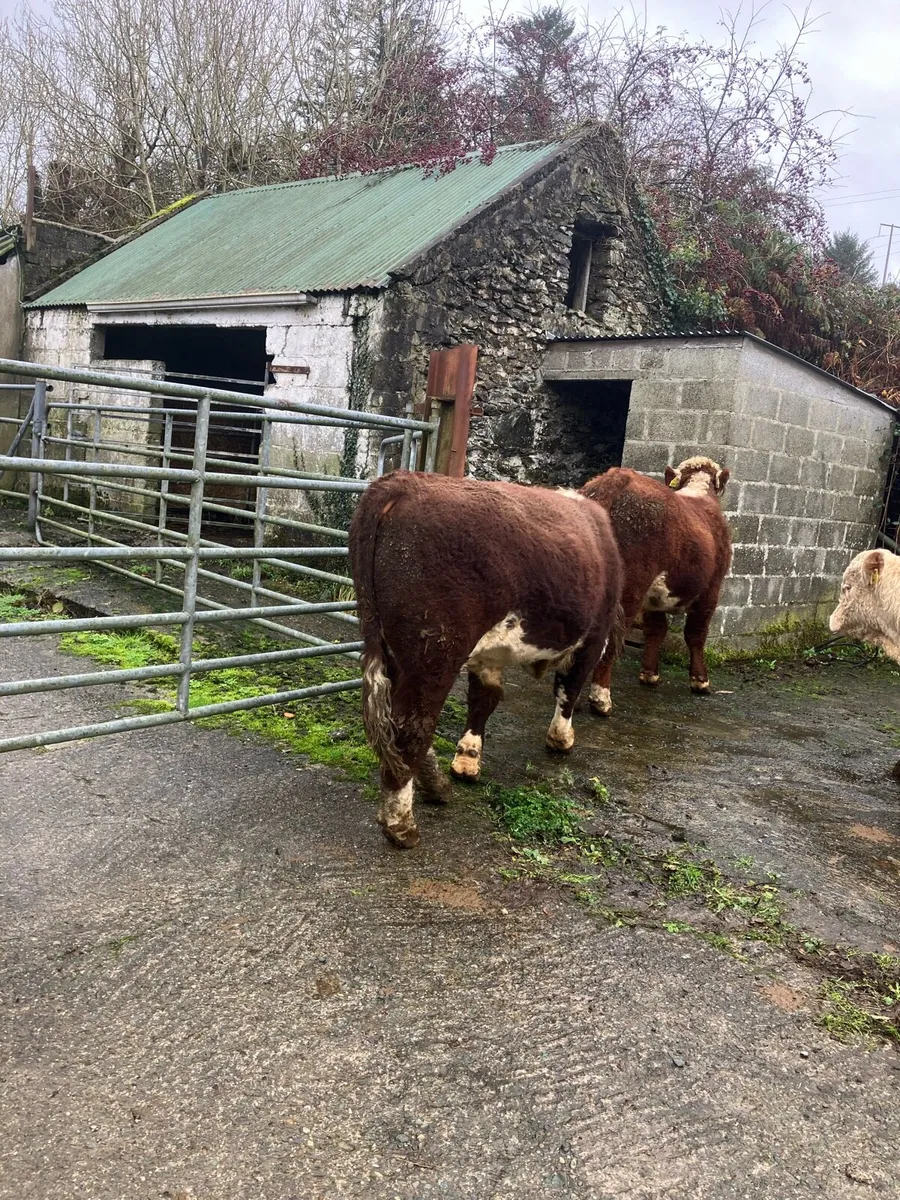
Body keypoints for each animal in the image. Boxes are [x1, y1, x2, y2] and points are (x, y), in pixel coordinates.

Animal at [349, 470, 623, 848]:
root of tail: (401, 482)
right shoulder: (593, 637)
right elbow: (568, 689)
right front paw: (561, 738)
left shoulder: (489, 654)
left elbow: (484, 699)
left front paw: (467, 757)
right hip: (435, 651)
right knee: (412, 726)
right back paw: (401, 824)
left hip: (389, 644)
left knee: (398, 722)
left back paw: (436, 785)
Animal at [580, 456, 732, 716]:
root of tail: (618, 478)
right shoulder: (712, 590)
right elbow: (696, 634)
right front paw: (700, 681)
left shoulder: (652, 600)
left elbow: (656, 630)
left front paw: (649, 674)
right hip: (630, 589)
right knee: (610, 639)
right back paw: (601, 699)